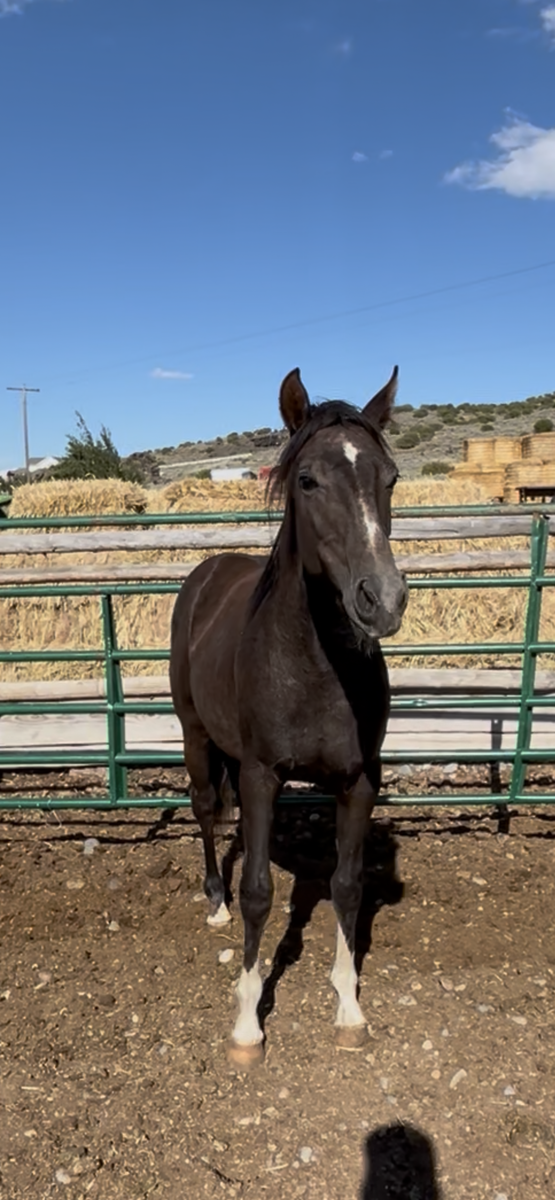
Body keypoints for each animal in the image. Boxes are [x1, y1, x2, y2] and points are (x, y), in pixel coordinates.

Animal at [170, 366, 408, 1067]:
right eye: (308, 480)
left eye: (389, 478)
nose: (382, 600)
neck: (315, 666)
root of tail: (208, 571)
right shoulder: (260, 775)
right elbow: (259, 894)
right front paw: (248, 1023)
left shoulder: (359, 781)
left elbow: (348, 885)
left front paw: (349, 1008)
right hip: (197, 738)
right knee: (206, 814)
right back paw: (213, 902)